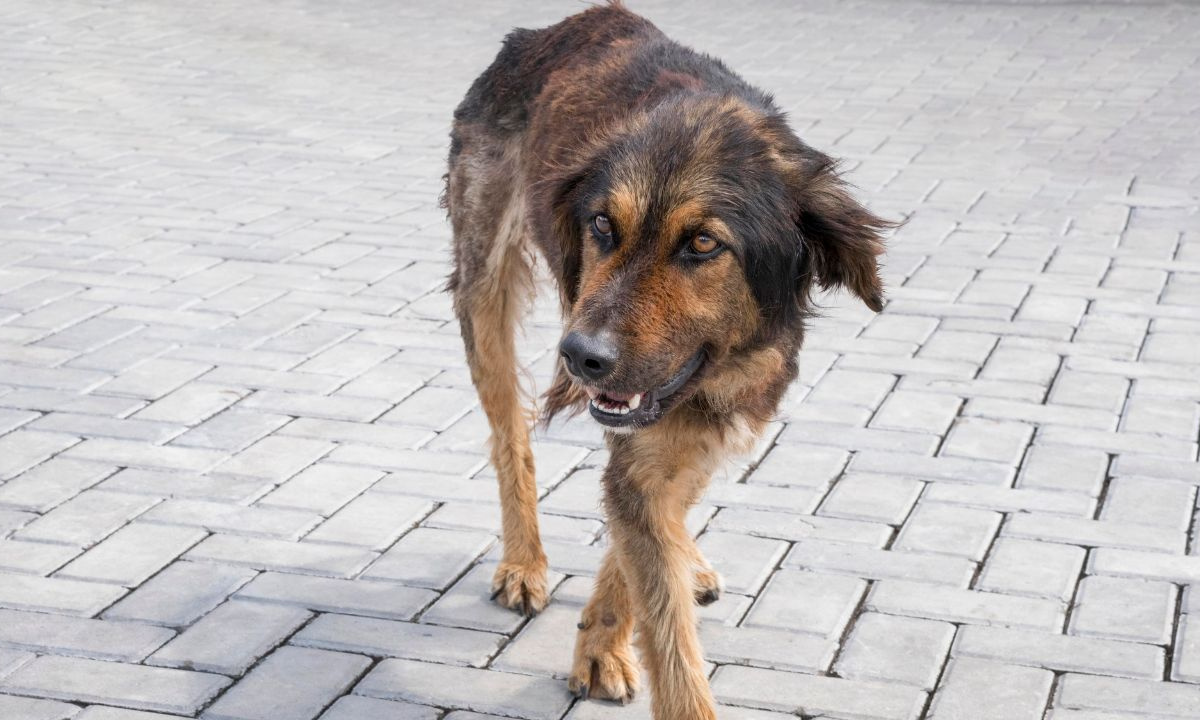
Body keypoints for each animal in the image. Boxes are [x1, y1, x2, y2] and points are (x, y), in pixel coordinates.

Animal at [444, 2, 892, 715]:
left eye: (703, 243)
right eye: (602, 225)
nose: (580, 357)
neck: (722, 363)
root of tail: (548, 30)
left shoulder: (713, 418)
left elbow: (647, 543)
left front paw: (603, 638)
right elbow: (670, 634)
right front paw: (611, 645)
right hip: (485, 286)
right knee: (509, 433)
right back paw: (524, 562)